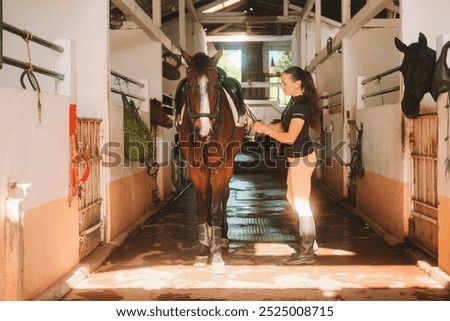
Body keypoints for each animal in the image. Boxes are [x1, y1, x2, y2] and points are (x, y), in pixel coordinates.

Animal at [177, 48, 246, 272]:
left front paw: (215, 256)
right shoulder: (195, 169)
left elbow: (215, 208)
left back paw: (222, 235)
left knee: (224, 195)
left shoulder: (220, 167)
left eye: (216, 85)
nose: (203, 130)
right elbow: (202, 208)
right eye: (189, 85)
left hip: (228, 164)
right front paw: (202, 251)